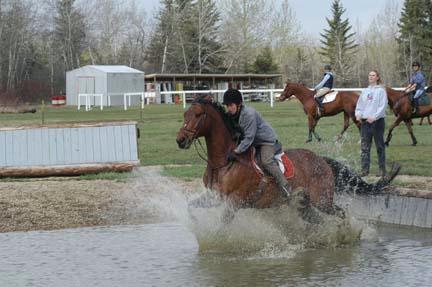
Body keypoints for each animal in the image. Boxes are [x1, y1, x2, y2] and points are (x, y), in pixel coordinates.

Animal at [175, 99, 398, 223]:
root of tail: (322, 161)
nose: (180, 140)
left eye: (198, 115)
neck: (223, 162)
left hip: (322, 200)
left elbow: (222, 225)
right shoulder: (214, 197)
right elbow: (190, 207)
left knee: (340, 213)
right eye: (184, 114)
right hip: (309, 202)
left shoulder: (235, 202)